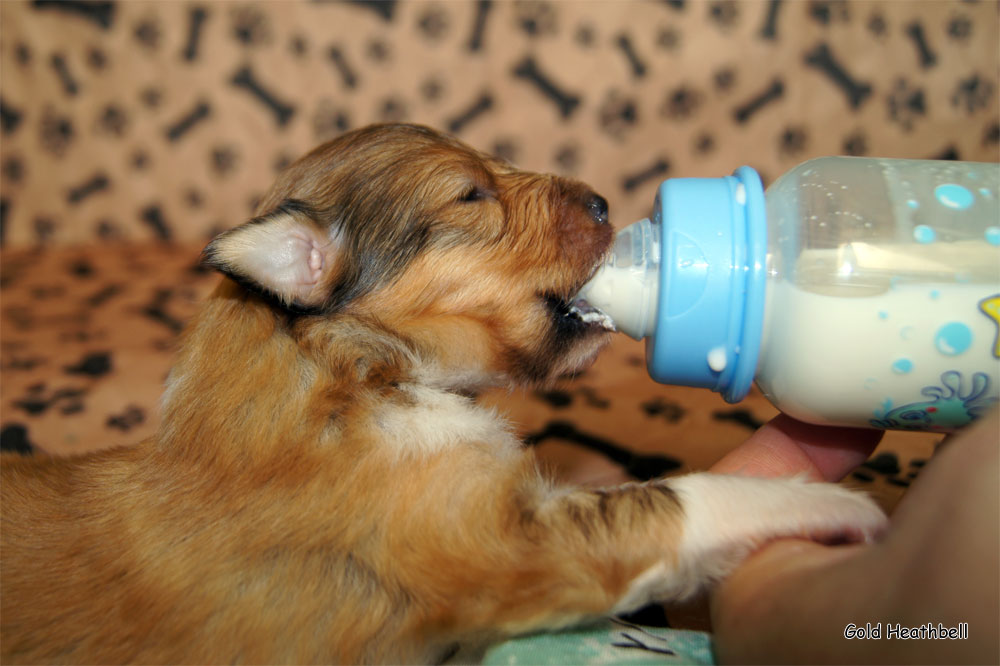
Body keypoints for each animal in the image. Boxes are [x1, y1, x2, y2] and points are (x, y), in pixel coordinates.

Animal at [3, 126, 888, 664]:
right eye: (469, 195)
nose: (604, 200)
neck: (355, 360)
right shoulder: (496, 538)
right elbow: (675, 500)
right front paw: (829, 504)